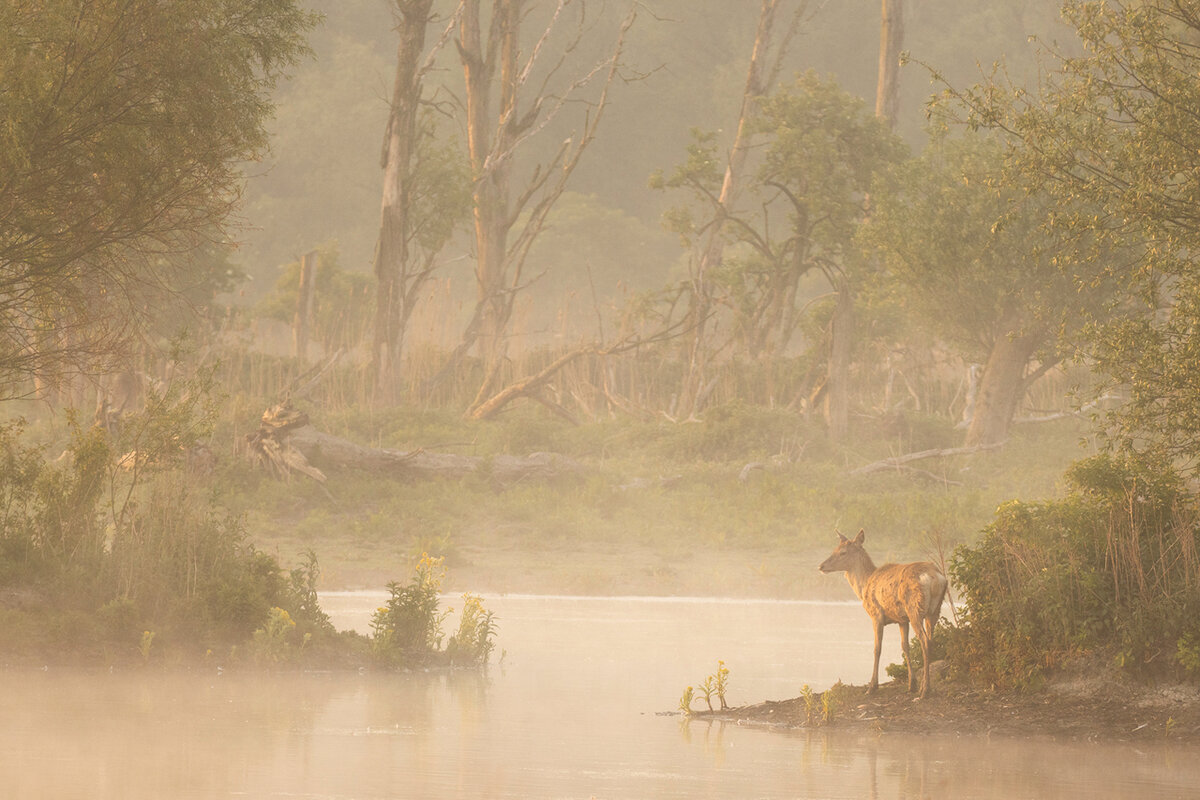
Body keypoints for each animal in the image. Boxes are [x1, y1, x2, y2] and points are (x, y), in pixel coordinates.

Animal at [820, 532, 950, 700]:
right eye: (834, 549)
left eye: (843, 552)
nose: (821, 566)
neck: (864, 586)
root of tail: (935, 578)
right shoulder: (902, 619)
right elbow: (905, 646)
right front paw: (911, 684)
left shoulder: (876, 615)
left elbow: (877, 648)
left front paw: (872, 687)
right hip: (934, 610)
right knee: (931, 640)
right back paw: (923, 687)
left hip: (914, 609)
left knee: (924, 641)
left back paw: (924, 691)